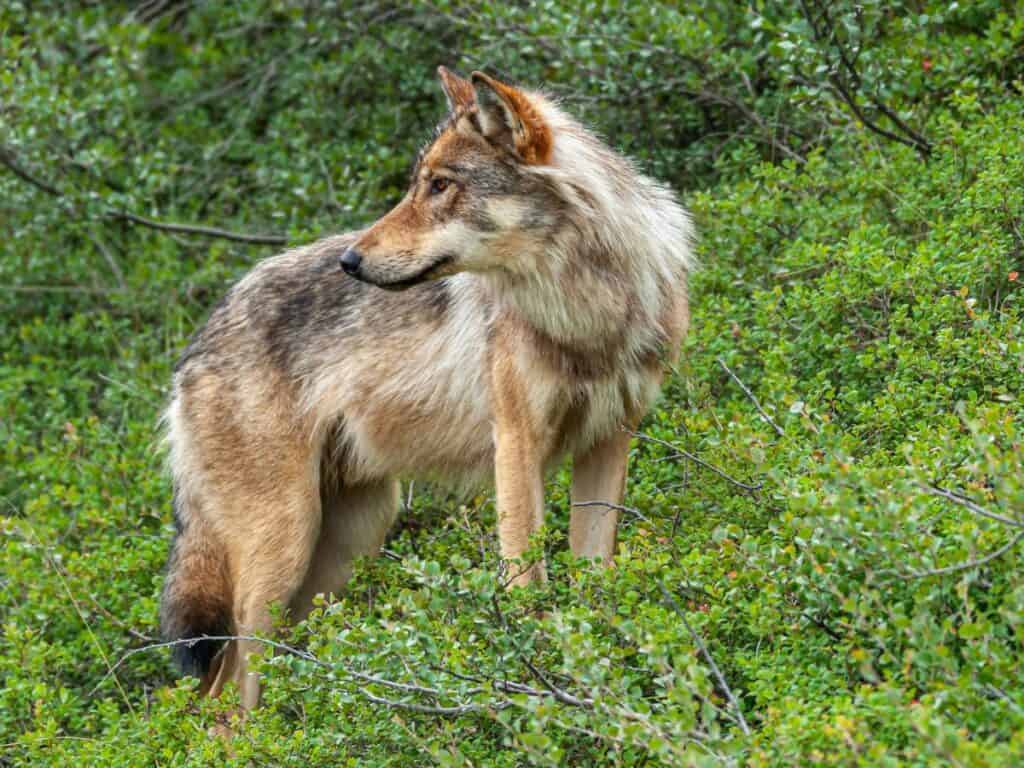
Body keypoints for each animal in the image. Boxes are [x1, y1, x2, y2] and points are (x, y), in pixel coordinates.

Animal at [159, 67, 694, 709]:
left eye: (440, 185)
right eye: (419, 185)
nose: (349, 260)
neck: (586, 310)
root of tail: (194, 345)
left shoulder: (610, 439)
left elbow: (595, 576)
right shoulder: (516, 446)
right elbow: (527, 585)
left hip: (348, 542)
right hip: (281, 551)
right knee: (224, 694)